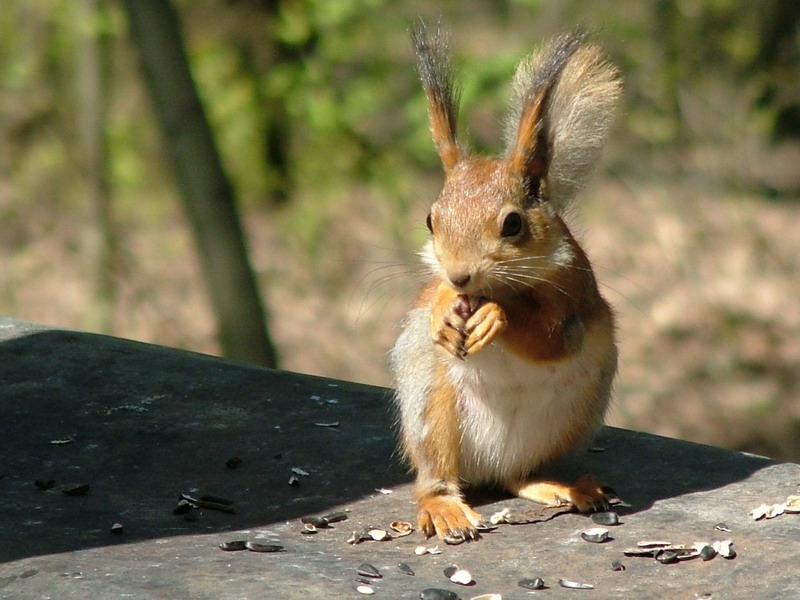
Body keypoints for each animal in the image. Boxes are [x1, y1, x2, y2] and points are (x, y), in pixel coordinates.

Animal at [390, 23, 620, 540]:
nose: (460, 274)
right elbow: (433, 301)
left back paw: (565, 487)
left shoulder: (574, 297)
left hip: (567, 418)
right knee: (437, 477)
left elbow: (551, 337)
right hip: (431, 407)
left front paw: (497, 317)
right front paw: (442, 308)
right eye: (430, 219)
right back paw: (445, 507)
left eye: (513, 223)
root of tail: (486, 468)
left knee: (518, 477)